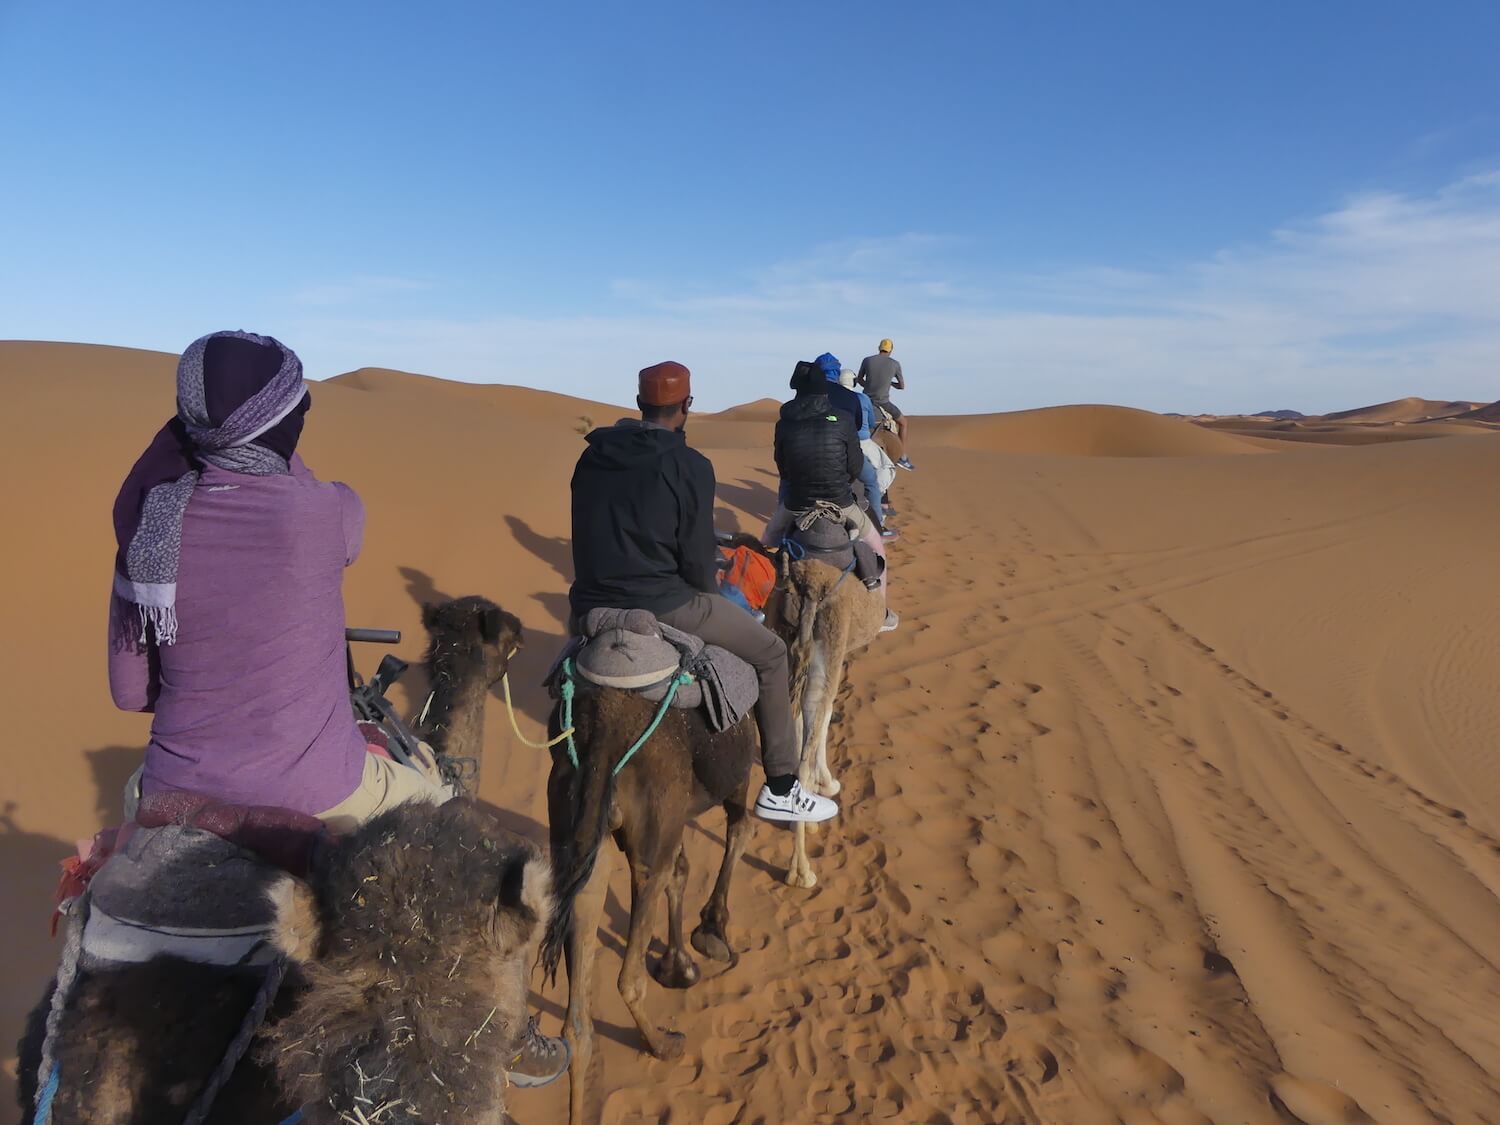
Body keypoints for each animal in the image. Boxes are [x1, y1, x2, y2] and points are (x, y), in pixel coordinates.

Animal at [540, 687, 756, 1125]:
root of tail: (601, 736)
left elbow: (682, 870)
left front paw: (679, 965)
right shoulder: (737, 770)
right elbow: (739, 830)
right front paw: (711, 932)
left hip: (579, 832)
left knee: (577, 1021)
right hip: (650, 826)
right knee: (629, 977)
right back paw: (665, 1045)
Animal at [768, 555, 882, 888]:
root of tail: (806, 588)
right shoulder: (836, 655)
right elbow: (826, 715)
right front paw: (829, 783)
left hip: (785, 648)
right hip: (827, 644)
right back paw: (801, 872)